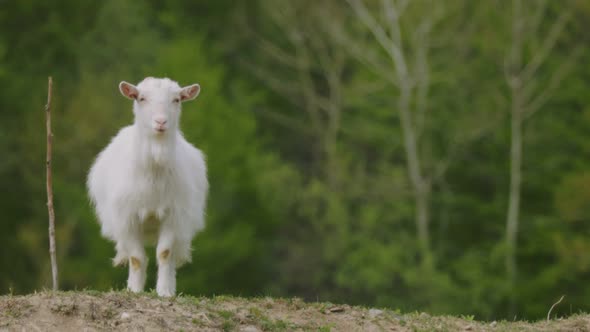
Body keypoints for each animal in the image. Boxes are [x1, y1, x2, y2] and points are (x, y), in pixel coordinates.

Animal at [86, 77, 208, 296]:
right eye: (141, 98)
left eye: (177, 99)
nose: (160, 122)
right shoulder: (127, 217)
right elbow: (136, 258)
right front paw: (134, 290)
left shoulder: (174, 215)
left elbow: (165, 253)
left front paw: (165, 291)